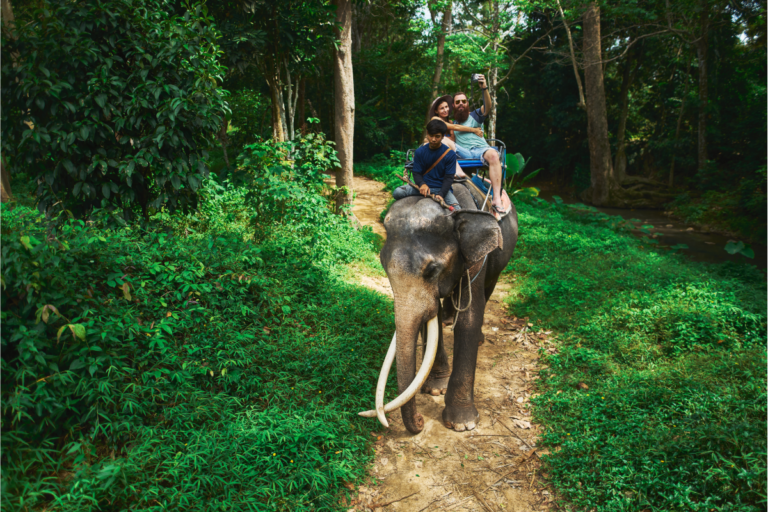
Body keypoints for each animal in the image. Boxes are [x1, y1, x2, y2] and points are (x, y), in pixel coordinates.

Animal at [358, 183, 516, 432]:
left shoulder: (474, 260)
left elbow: (469, 319)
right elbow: (432, 315)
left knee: (490, 287)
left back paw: (477, 336)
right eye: (383, 265)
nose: (420, 421)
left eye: (432, 270)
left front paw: (462, 423)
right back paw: (448, 318)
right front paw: (434, 389)